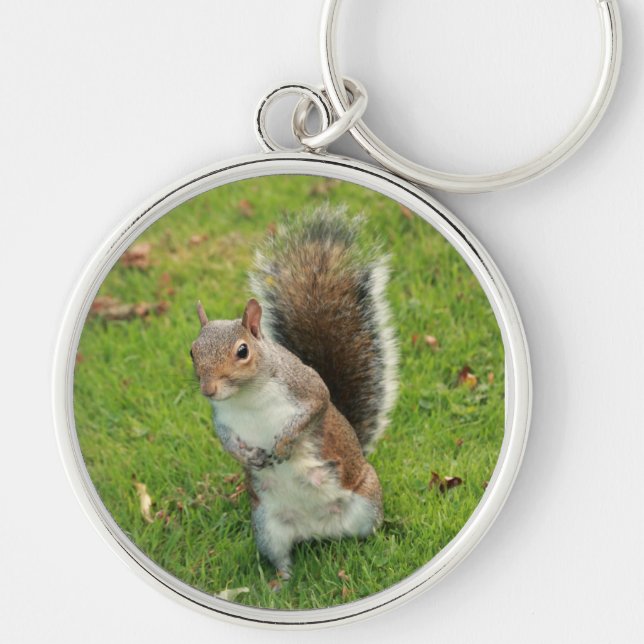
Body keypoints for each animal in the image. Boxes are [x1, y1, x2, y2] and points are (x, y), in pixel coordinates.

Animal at [190, 206, 399, 578]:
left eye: (242, 351)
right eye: (191, 352)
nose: (209, 389)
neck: (247, 397)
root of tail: (319, 530)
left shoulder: (307, 388)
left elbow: (314, 407)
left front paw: (284, 443)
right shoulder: (222, 417)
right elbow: (226, 440)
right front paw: (246, 456)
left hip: (366, 497)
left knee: (367, 532)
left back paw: (374, 548)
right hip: (266, 527)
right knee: (282, 559)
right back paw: (280, 582)